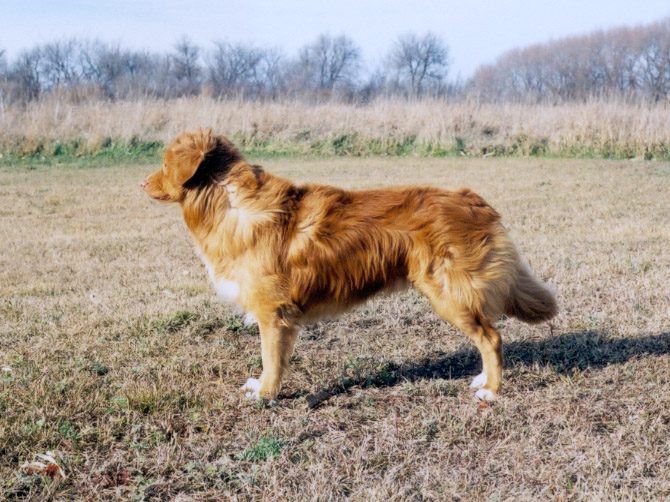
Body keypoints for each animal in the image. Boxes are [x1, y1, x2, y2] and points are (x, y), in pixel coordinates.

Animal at [142, 129, 556, 400]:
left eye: (164, 164)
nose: (142, 183)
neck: (228, 202)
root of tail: (474, 201)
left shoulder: (272, 312)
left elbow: (270, 358)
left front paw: (265, 393)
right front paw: (262, 387)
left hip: (449, 294)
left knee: (491, 337)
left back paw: (491, 391)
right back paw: (482, 380)